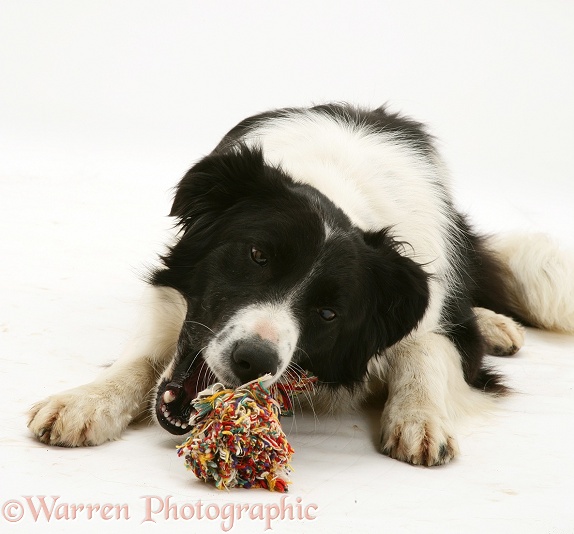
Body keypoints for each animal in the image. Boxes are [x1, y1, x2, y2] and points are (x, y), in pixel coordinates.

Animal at [28, 104, 574, 468]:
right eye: (256, 255)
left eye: (328, 313)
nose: (253, 361)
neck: (338, 190)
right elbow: (141, 358)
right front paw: (85, 400)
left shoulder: (430, 305)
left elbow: (426, 351)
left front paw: (420, 418)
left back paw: (494, 325)